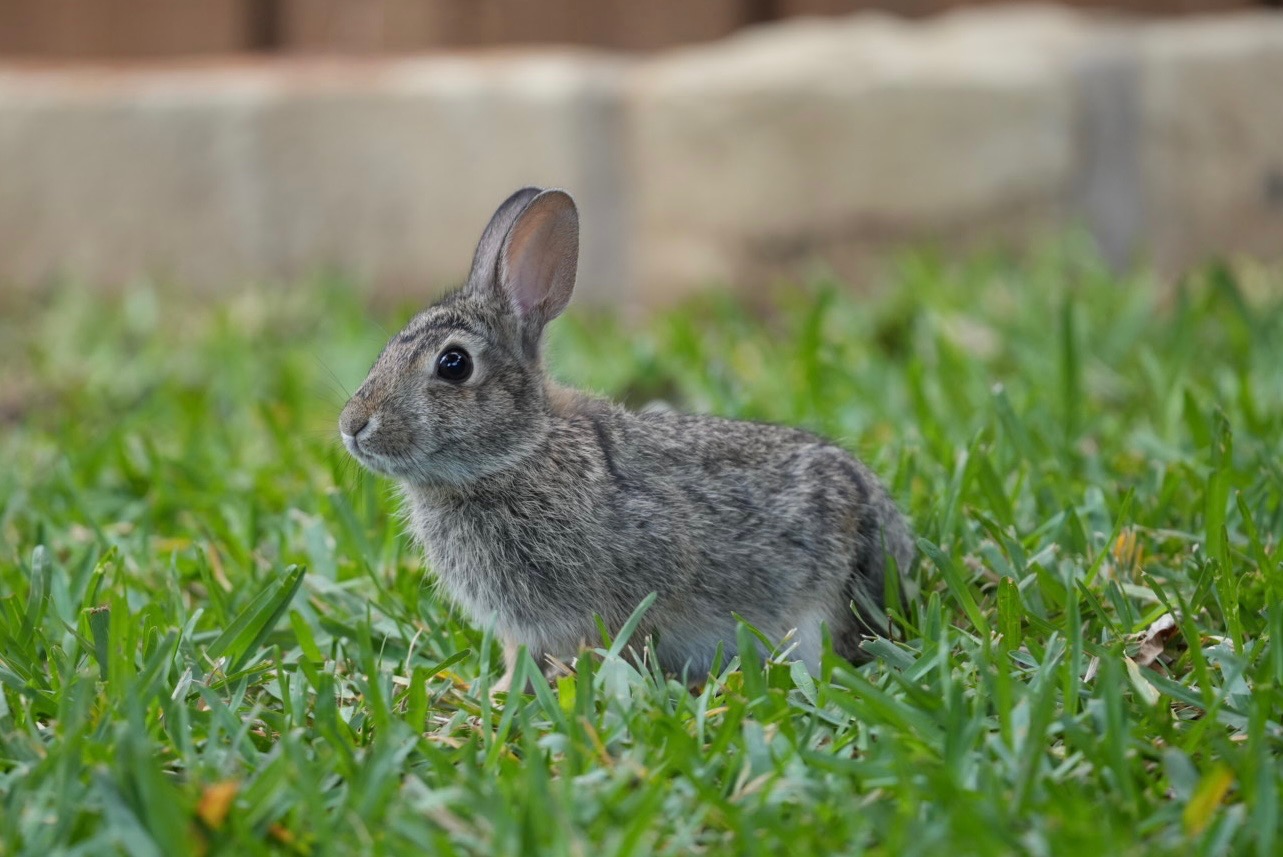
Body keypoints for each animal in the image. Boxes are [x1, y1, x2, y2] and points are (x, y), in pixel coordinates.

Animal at [339, 187, 914, 690]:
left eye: (453, 364)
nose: (352, 426)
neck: (519, 454)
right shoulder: (521, 629)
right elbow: (519, 657)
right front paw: (502, 691)